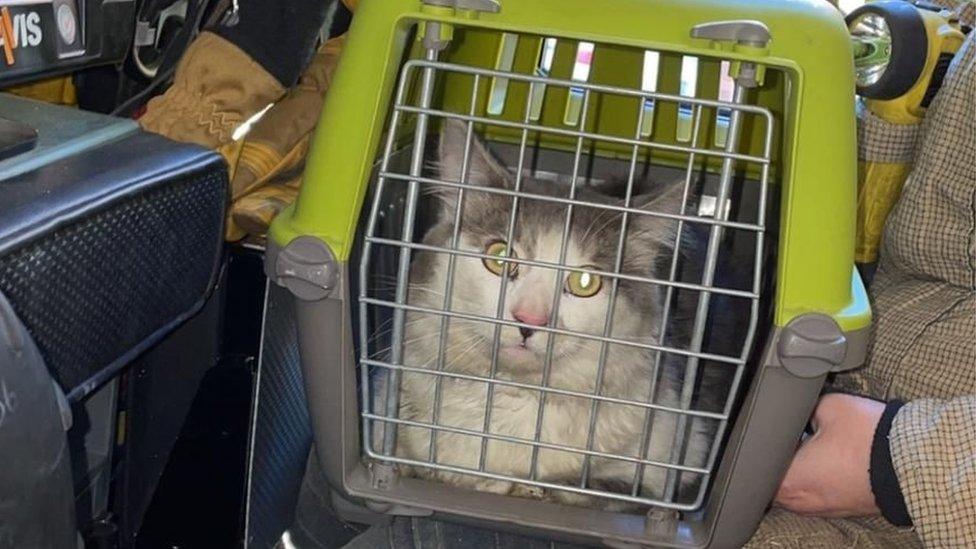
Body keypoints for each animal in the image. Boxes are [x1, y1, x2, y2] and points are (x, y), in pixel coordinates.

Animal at [380, 120, 724, 510]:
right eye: (500, 258)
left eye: (585, 282)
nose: (529, 319)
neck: (515, 394)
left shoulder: (683, 449)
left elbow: (606, 490)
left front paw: (532, 488)